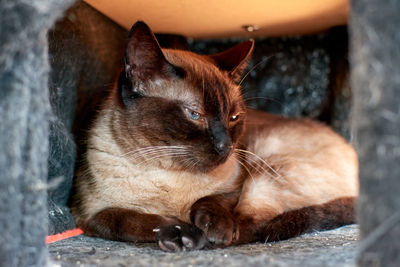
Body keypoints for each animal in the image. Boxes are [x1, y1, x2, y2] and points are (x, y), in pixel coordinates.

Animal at [69, 21, 360, 253]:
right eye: (194, 114)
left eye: (233, 117)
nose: (226, 146)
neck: (169, 178)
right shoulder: (91, 215)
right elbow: (134, 219)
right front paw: (179, 232)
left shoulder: (236, 186)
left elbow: (211, 201)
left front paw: (211, 230)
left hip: (264, 169)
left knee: (257, 225)